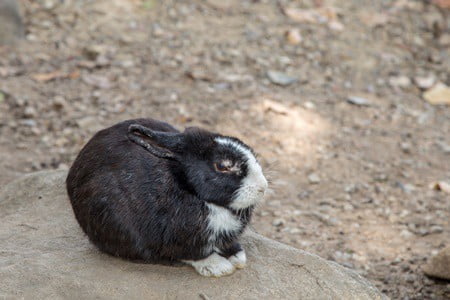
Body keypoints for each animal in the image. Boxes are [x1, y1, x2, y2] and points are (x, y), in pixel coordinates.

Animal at [67, 118, 268, 278]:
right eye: (223, 166)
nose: (262, 187)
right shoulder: (182, 241)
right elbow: (195, 254)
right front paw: (218, 267)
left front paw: (237, 256)